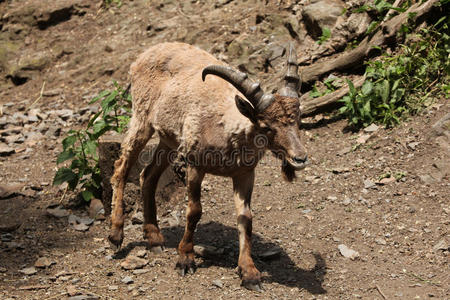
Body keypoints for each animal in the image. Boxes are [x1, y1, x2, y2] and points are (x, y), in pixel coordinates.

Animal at [109, 42, 308, 290]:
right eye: (266, 126)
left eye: (298, 119)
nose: (299, 158)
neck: (225, 128)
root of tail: (145, 53)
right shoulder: (196, 164)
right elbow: (194, 211)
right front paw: (185, 259)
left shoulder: (244, 174)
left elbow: (246, 218)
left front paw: (250, 273)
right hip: (141, 119)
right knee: (121, 169)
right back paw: (116, 234)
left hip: (168, 140)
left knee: (148, 176)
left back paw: (154, 238)